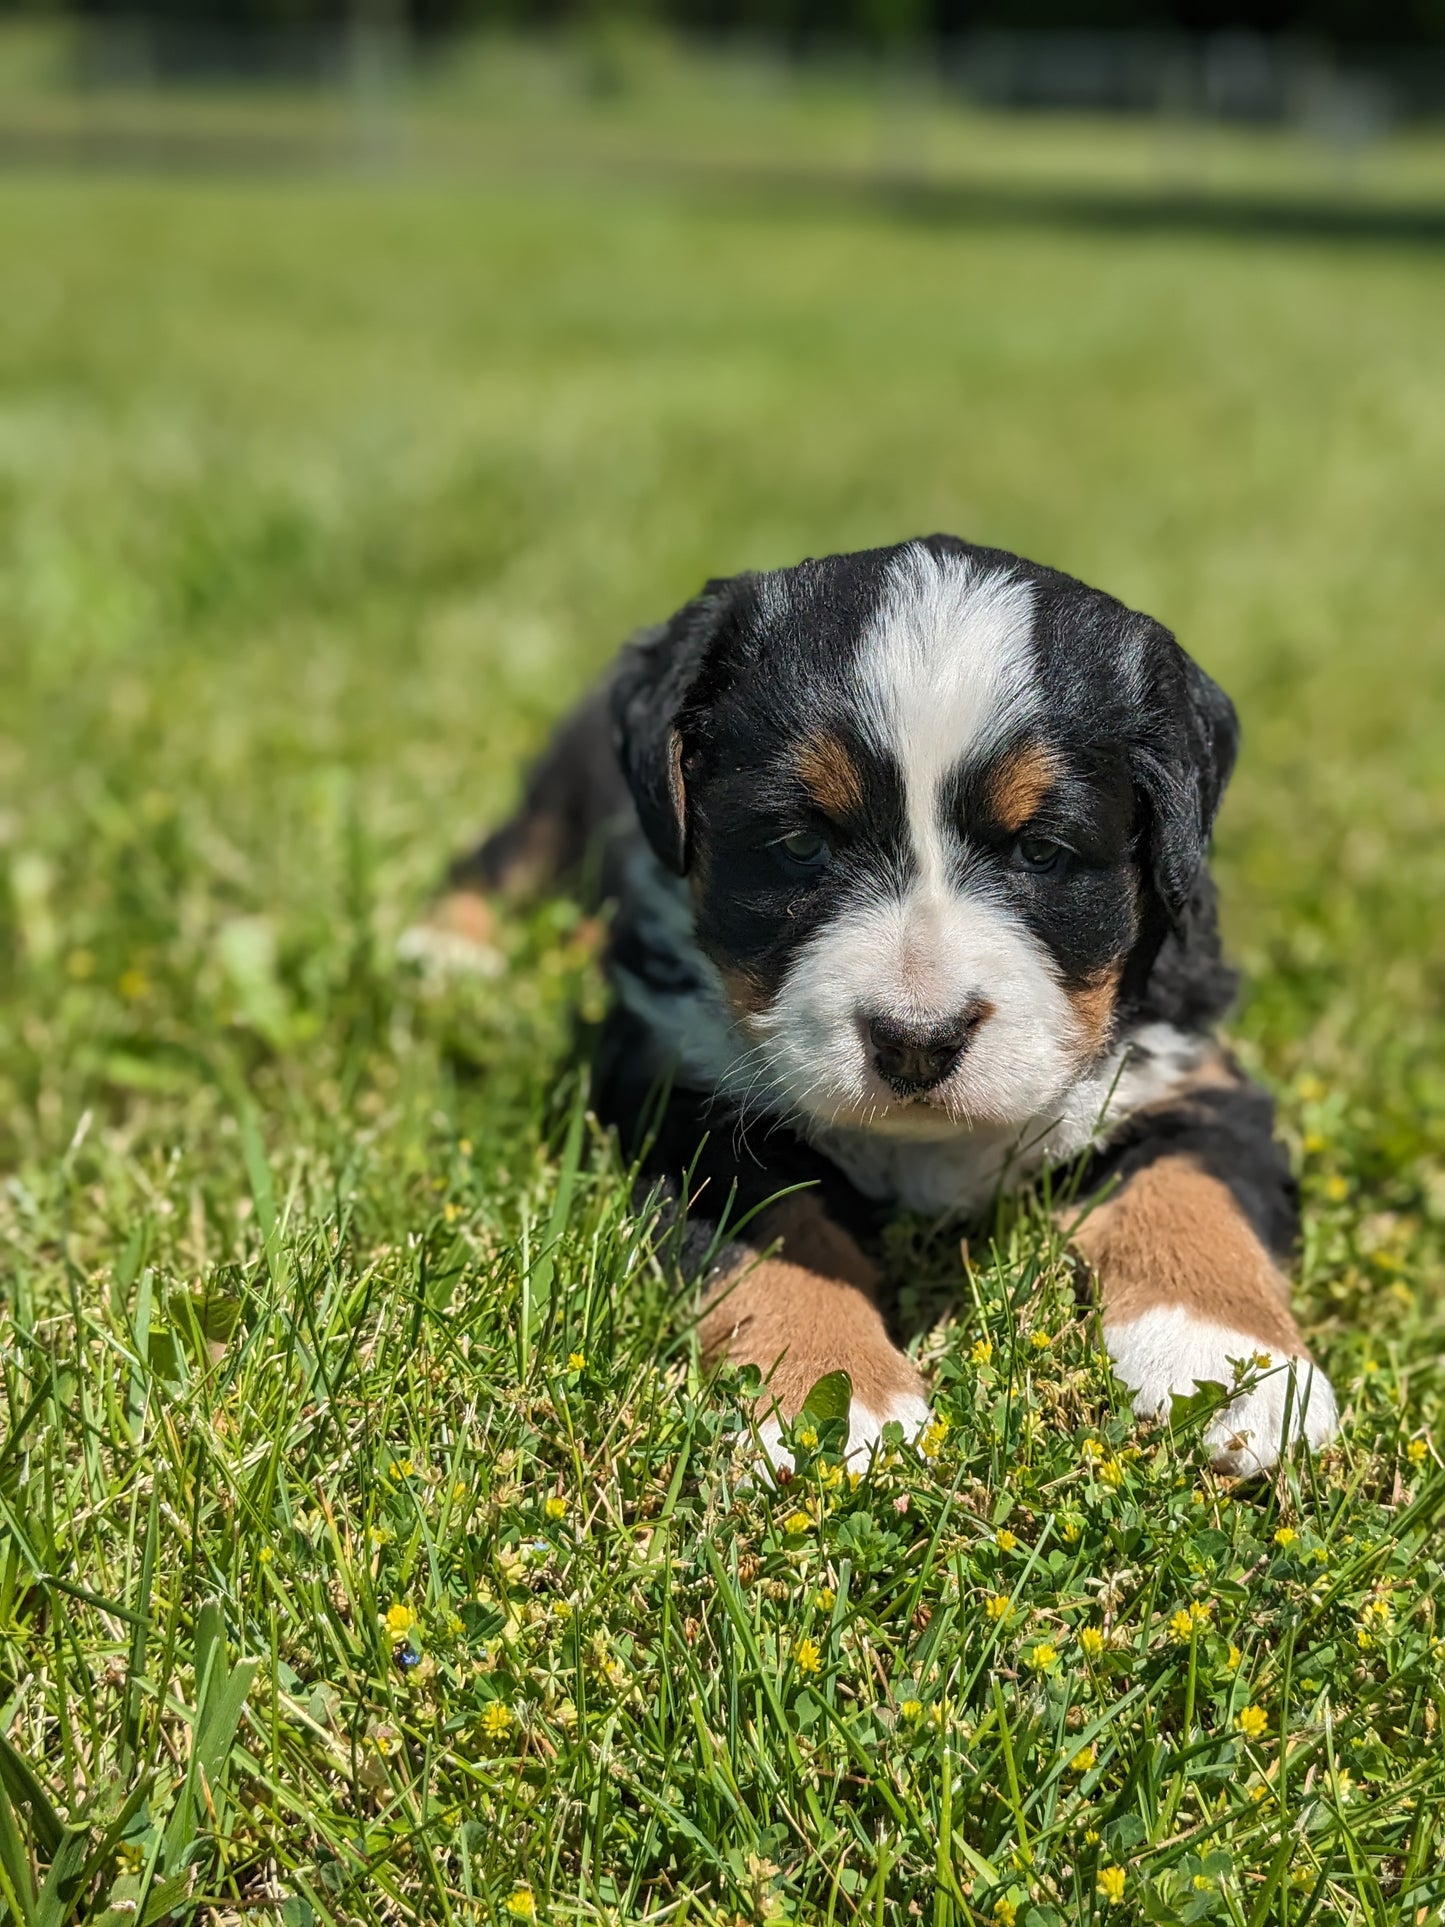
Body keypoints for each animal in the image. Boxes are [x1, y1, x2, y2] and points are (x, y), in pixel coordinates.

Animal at [423, 535, 1340, 1479]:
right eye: (799, 845)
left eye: (1040, 852)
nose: (917, 1041)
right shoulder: (678, 1099)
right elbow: (782, 1234)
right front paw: (835, 1394)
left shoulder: (1186, 1071)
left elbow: (1194, 1193)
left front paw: (1231, 1364)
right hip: (564, 792)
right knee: (500, 855)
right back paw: (448, 950)